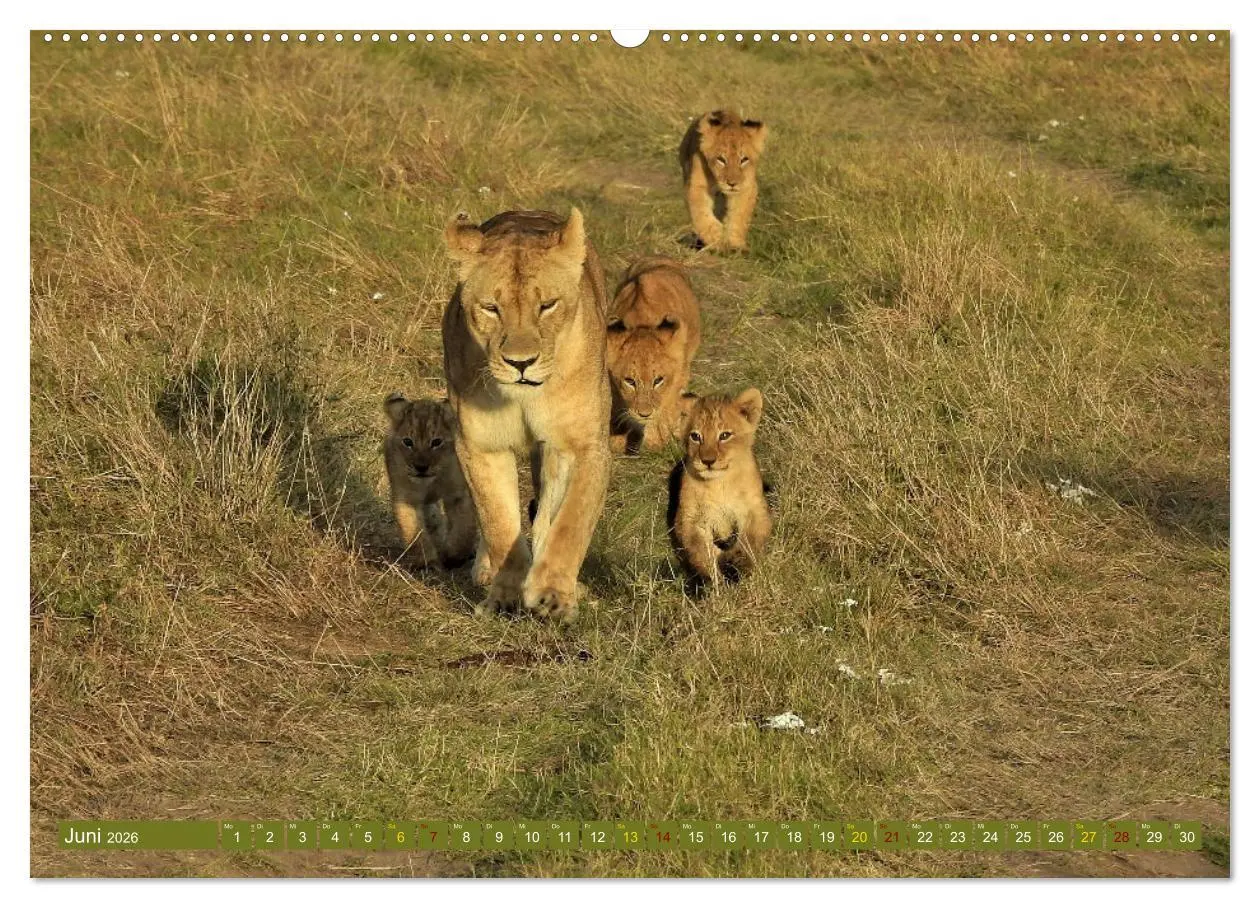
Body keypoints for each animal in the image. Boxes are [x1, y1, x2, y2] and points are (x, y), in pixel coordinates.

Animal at [383, 392, 478, 568]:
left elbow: (464, 526)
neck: (430, 483)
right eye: (408, 442)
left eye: (436, 442)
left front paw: (454, 557)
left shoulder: (458, 493)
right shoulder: (406, 498)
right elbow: (412, 530)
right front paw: (426, 561)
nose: (421, 467)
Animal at [442, 208, 612, 623]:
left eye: (547, 305)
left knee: (548, 510)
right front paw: (504, 596)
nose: (521, 363)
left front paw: (552, 594)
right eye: (491, 308)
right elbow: (499, 521)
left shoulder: (586, 445)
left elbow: (571, 522)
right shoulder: (479, 445)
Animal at [606, 257, 702, 454]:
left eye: (658, 380)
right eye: (630, 381)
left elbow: (665, 407)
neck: (642, 321)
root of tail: (660, 257)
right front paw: (617, 439)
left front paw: (655, 442)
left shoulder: (678, 374)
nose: (644, 414)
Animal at [667, 388, 772, 586]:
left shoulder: (755, 509)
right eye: (695, 436)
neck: (719, 483)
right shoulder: (688, 518)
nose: (708, 461)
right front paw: (714, 579)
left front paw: (737, 564)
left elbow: (749, 540)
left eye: (724, 435)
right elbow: (700, 550)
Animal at [678, 110, 768, 252]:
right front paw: (718, 240)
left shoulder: (746, 187)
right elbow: (702, 215)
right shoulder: (697, 186)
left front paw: (736, 245)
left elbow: (739, 216)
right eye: (721, 159)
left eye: (743, 160)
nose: (732, 183)